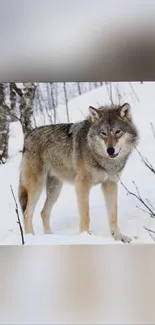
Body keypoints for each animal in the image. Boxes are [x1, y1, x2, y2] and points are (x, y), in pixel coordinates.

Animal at [18, 102, 139, 242]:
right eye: (103, 133)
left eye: (118, 131)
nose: (110, 150)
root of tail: (27, 136)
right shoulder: (82, 185)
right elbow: (86, 215)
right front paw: (86, 238)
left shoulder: (110, 184)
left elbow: (113, 214)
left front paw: (119, 236)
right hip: (37, 187)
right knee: (27, 213)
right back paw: (30, 238)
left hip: (55, 190)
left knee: (43, 213)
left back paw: (50, 237)